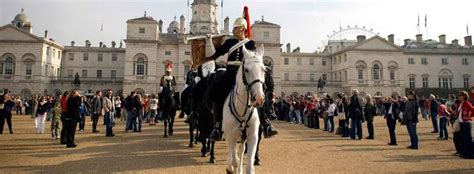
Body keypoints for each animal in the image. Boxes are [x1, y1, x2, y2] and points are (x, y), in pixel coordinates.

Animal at [223, 45, 266, 174]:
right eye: (246, 70)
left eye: (264, 70)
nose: (258, 98)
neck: (242, 110)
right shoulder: (230, 136)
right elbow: (234, 159)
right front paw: (231, 168)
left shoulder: (252, 137)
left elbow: (248, 166)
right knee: (232, 152)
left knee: (241, 151)